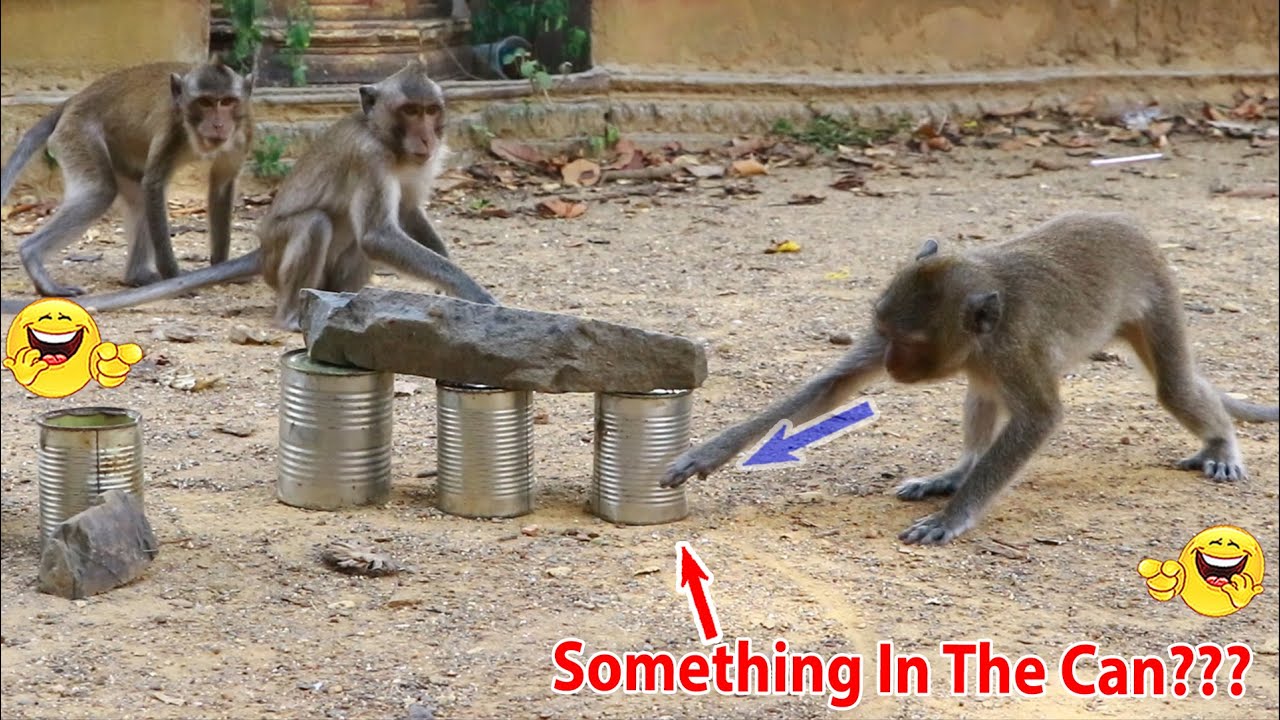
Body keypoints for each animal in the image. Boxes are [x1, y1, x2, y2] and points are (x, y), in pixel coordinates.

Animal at [0, 59, 253, 298]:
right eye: (205, 103)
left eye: (228, 102)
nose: (219, 124)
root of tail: (74, 99)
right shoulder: (172, 128)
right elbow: (154, 185)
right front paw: (174, 278)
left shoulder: (242, 133)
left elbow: (222, 184)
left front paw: (221, 267)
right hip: (77, 134)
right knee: (101, 192)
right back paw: (32, 257)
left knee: (137, 197)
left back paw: (137, 275)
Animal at [27, 60, 498, 330]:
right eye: (410, 111)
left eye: (431, 111)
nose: (426, 136)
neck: (388, 142)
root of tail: (261, 254)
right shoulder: (368, 157)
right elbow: (380, 234)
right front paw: (469, 288)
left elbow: (410, 212)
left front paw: (452, 289)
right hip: (277, 260)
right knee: (318, 224)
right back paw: (292, 315)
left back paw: (343, 305)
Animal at [661, 212, 1279, 546]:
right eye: (883, 331)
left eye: (910, 344)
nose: (890, 363)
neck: (982, 333)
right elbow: (830, 389)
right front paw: (706, 454)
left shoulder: (1014, 347)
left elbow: (1041, 417)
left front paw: (955, 517)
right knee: (981, 392)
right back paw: (959, 472)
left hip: (1156, 293)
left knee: (1174, 385)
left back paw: (1221, 443)